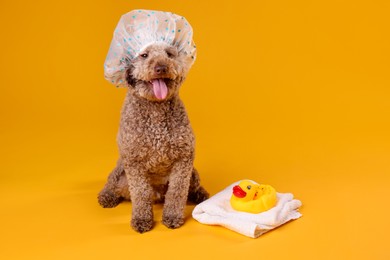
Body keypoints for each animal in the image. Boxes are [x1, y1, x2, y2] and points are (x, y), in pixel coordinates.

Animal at [98, 10, 207, 234]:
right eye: (144, 55)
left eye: (169, 54)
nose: (161, 67)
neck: (155, 109)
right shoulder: (134, 162)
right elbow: (140, 194)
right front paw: (141, 220)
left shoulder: (184, 160)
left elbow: (176, 193)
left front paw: (172, 217)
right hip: (121, 173)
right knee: (112, 182)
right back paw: (107, 196)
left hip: (192, 173)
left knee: (190, 187)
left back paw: (199, 194)